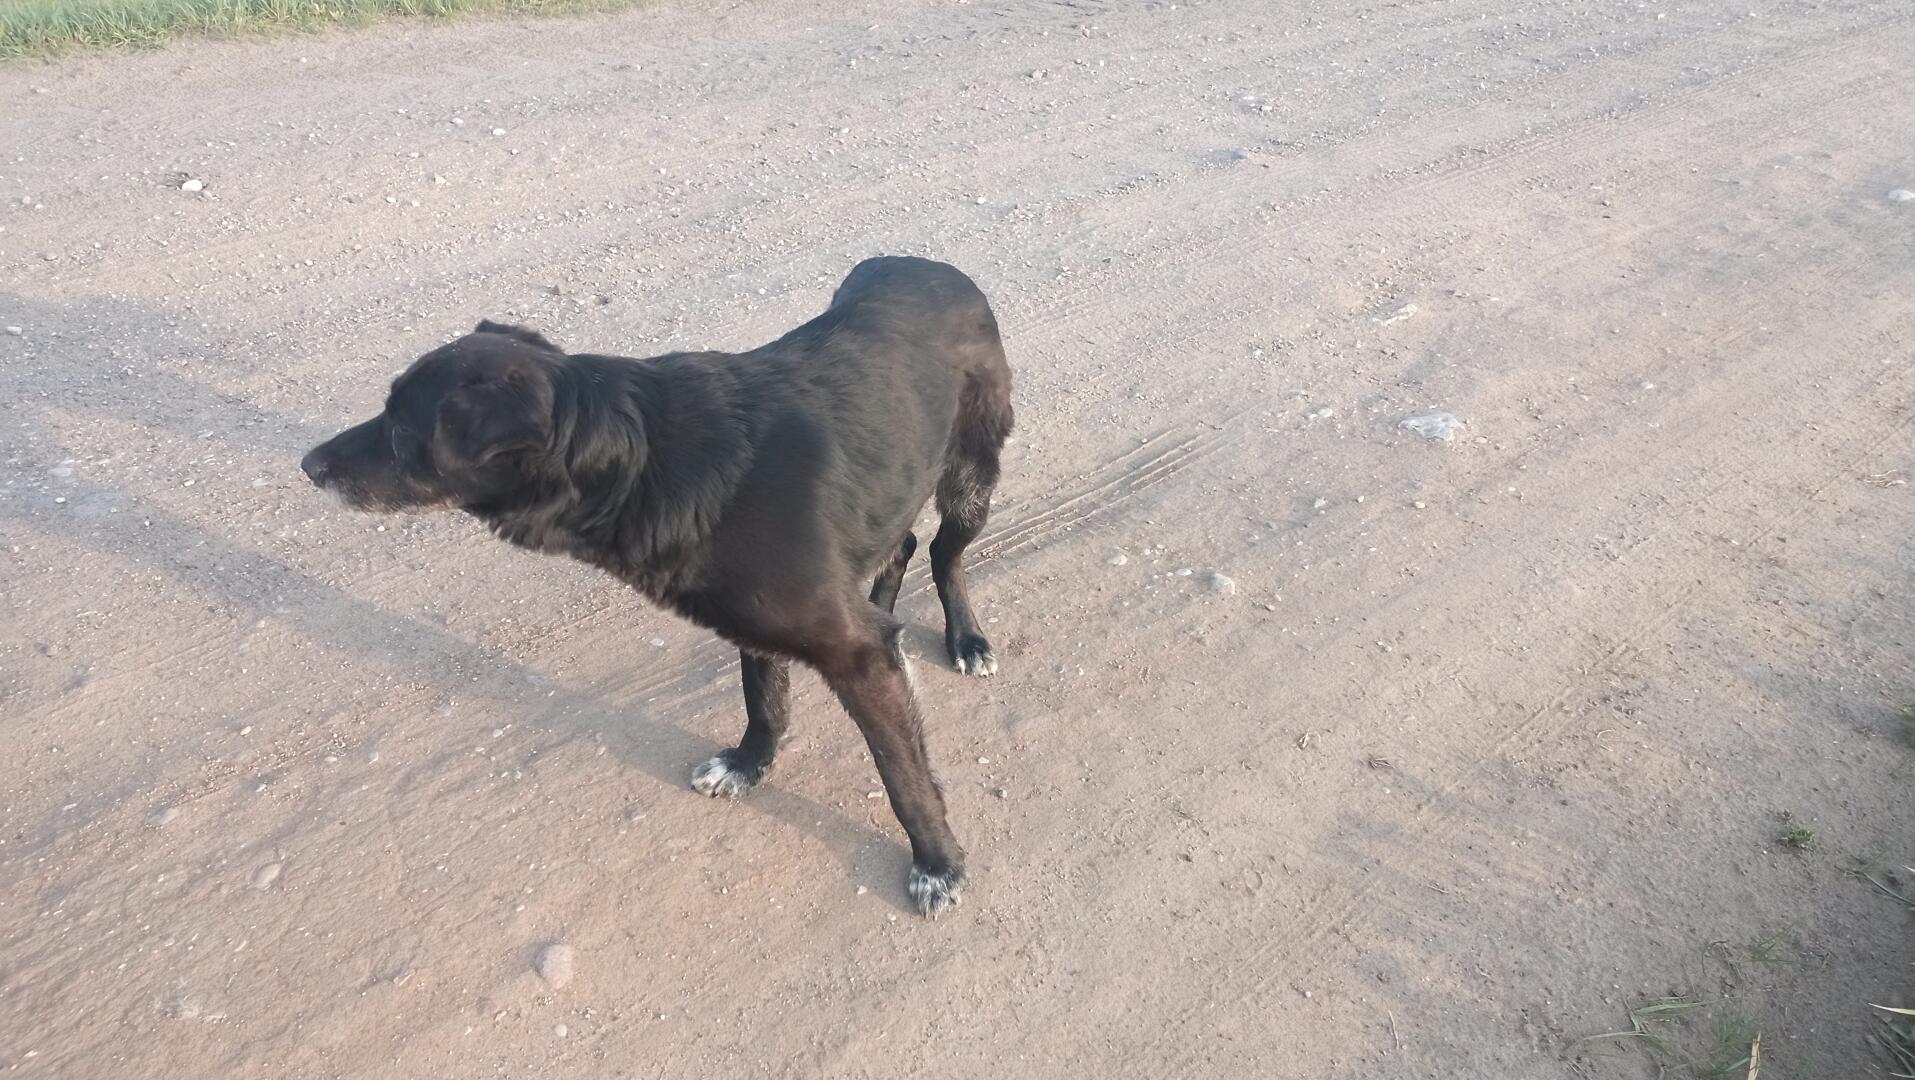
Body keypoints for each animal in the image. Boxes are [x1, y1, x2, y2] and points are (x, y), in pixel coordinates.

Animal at [301, 256, 1013, 916]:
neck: (640, 460)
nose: (307, 465)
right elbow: (765, 699)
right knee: (902, 548)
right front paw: (749, 764)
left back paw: (967, 639)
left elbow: (903, 775)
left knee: (943, 552)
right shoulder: (757, 622)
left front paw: (937, 863)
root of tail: (929, 265)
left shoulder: (854, 653)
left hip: (970, 475)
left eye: (400, 431)